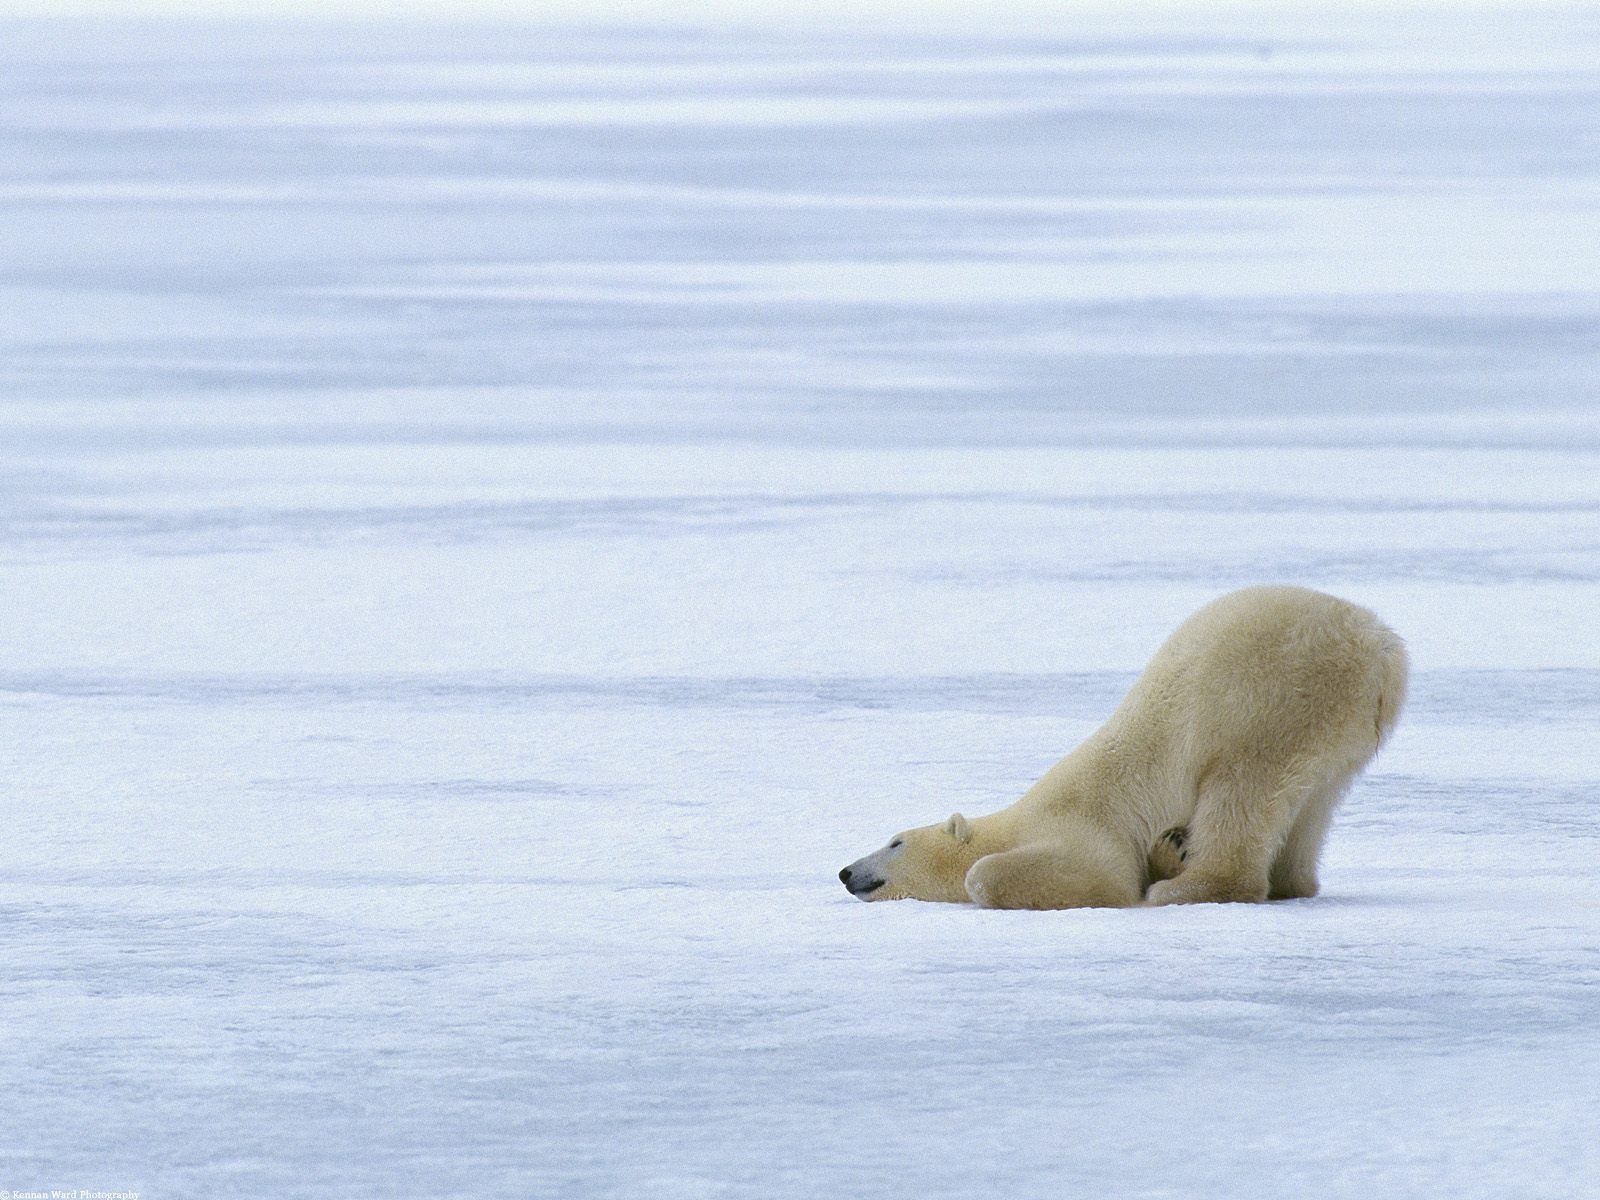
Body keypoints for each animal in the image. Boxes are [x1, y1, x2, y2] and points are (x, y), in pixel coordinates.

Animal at [838, 585, 1407, 908]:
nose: (845, 871)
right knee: (1312, 805)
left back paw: (1186, 889)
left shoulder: (1084, 828)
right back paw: (1288, 880)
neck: (1019, 819)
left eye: (895, 841)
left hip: (1271, 698)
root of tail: (1381, 648)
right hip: (1340, 730)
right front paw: (1170, 849)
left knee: (1241, 789)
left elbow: (1082, 877)